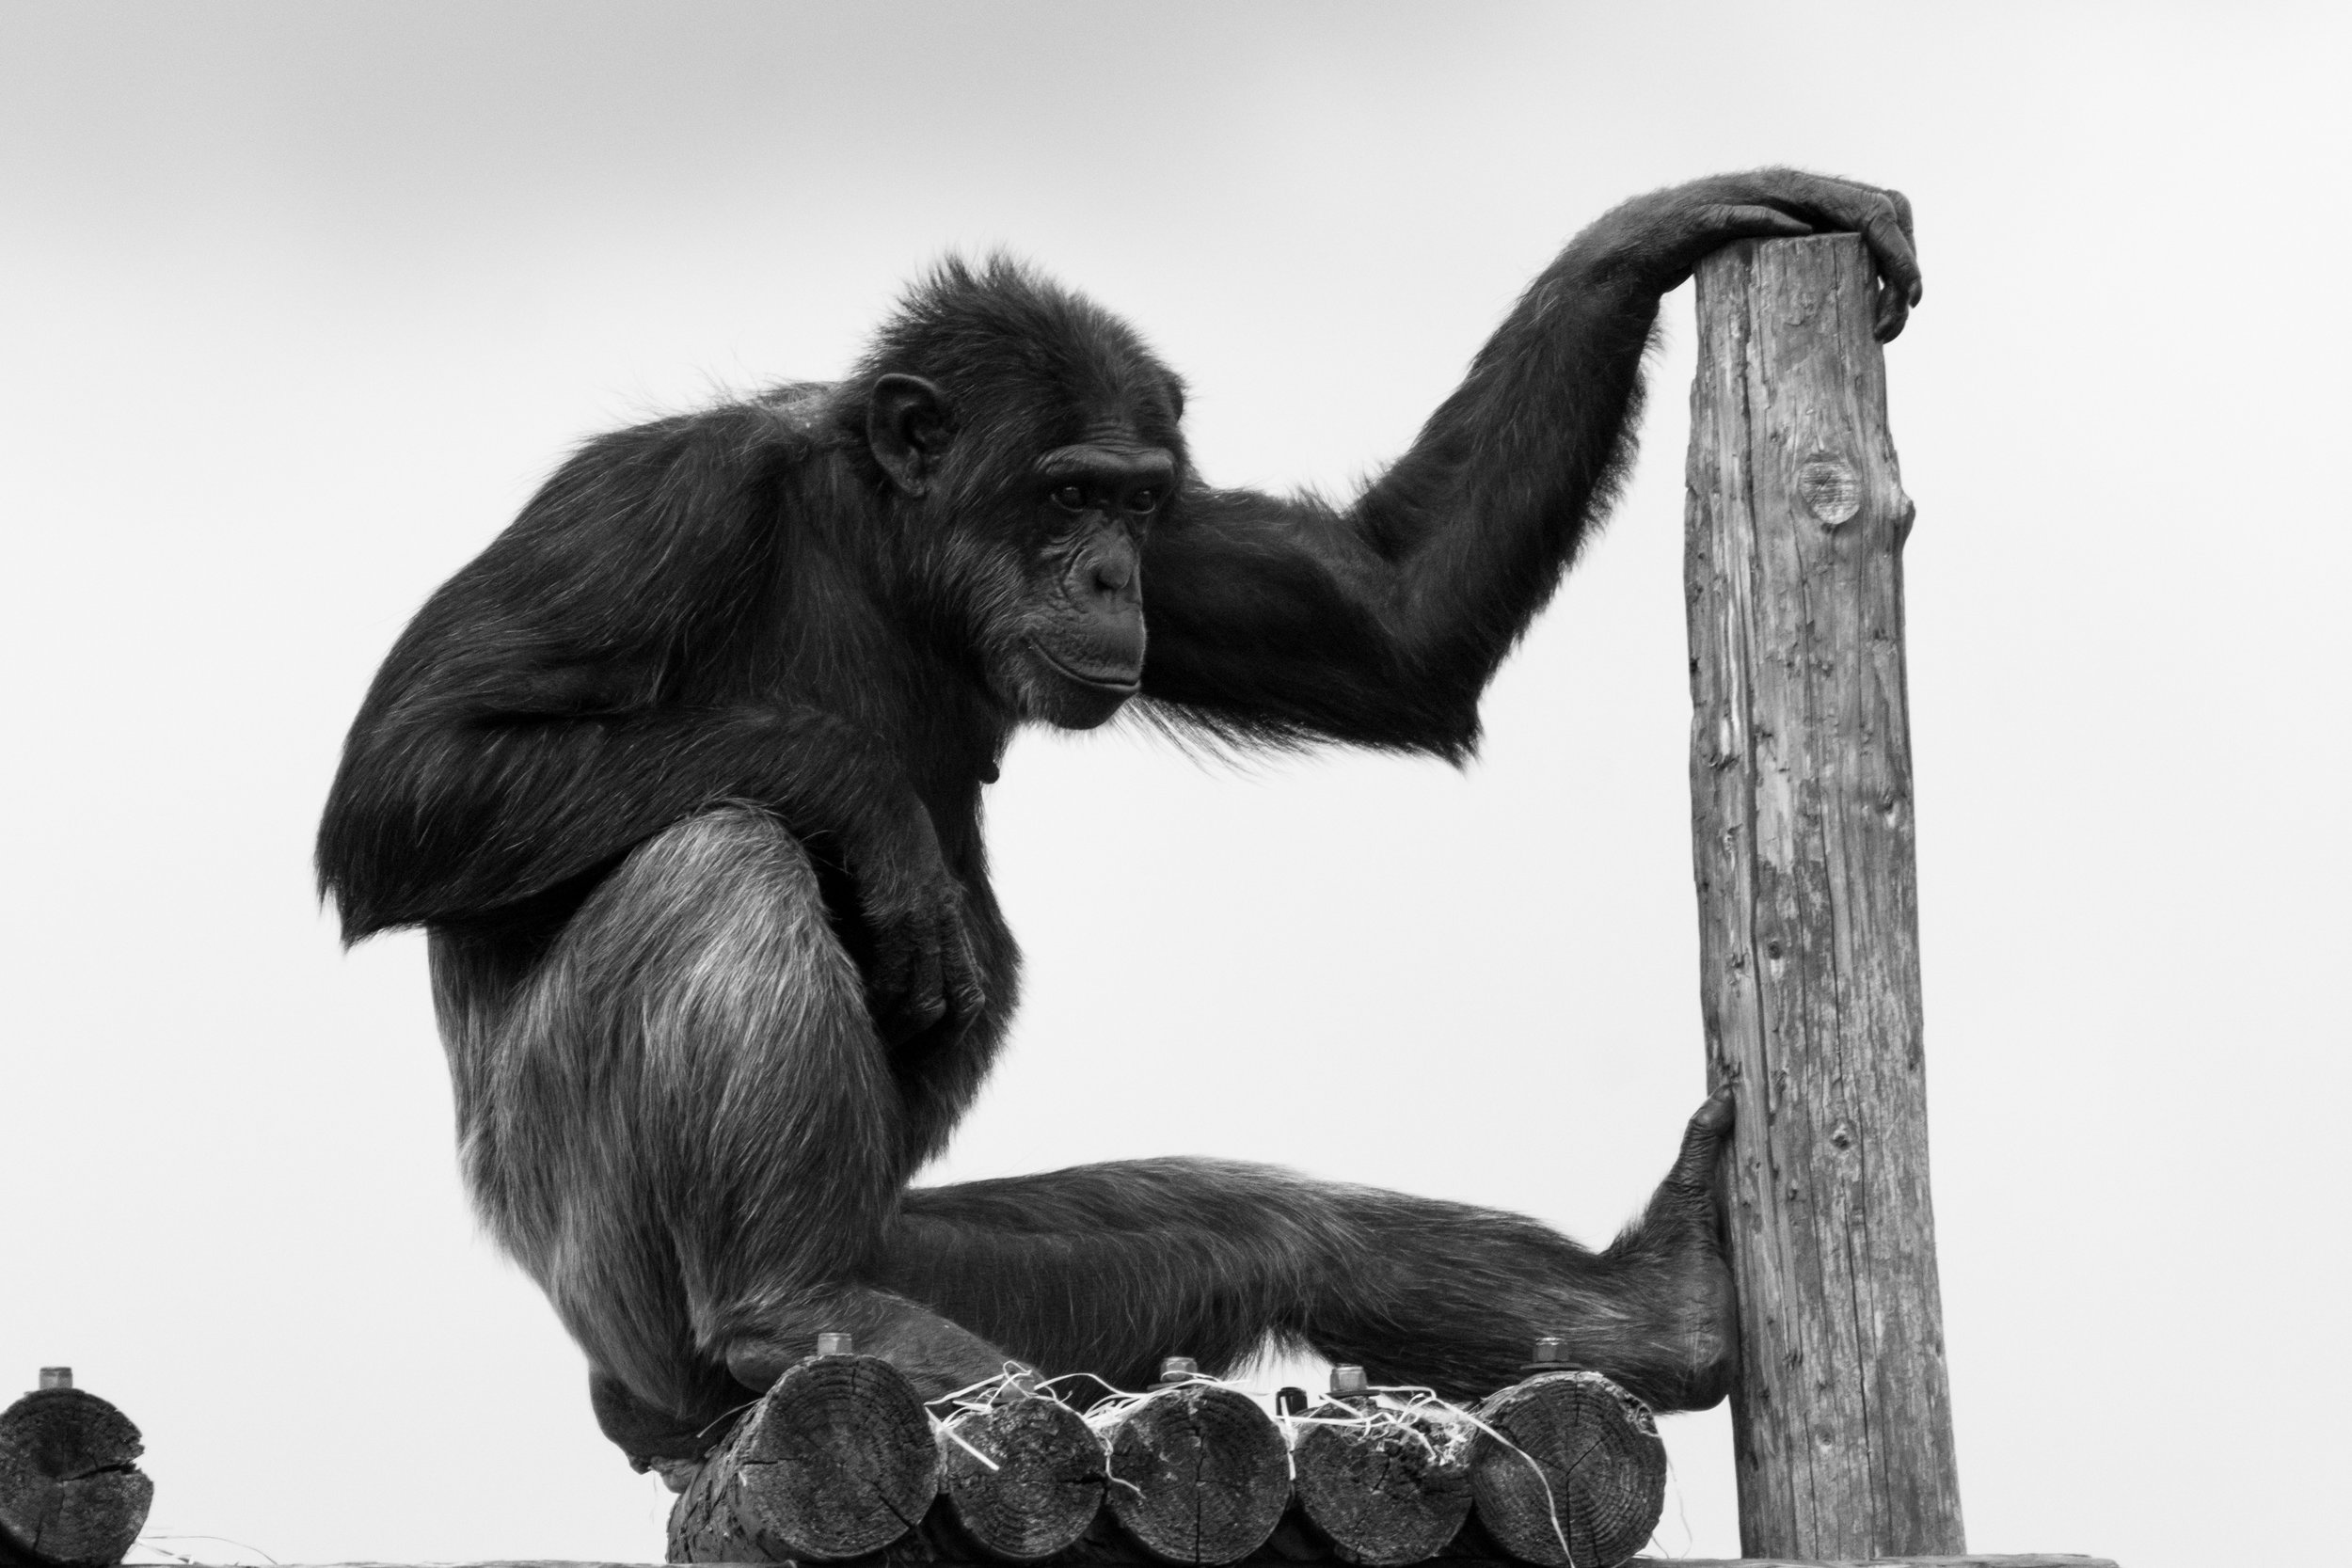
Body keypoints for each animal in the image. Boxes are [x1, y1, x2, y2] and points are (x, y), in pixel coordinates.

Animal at [317, 168, 1929, 1476]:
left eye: (1134, 502)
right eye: (1061, 491)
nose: (1105, 575)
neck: (881, 546)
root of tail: (631, 1394)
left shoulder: (1190, 556)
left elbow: (1389, 622)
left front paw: (1664, 226)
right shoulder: (649, 502)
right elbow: (403, 781)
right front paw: (870, 805)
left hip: (948, 1268)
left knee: (1260, 1227)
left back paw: (1658, 1304)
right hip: (611, 1267)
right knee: (723, 849)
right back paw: (790, 1296)